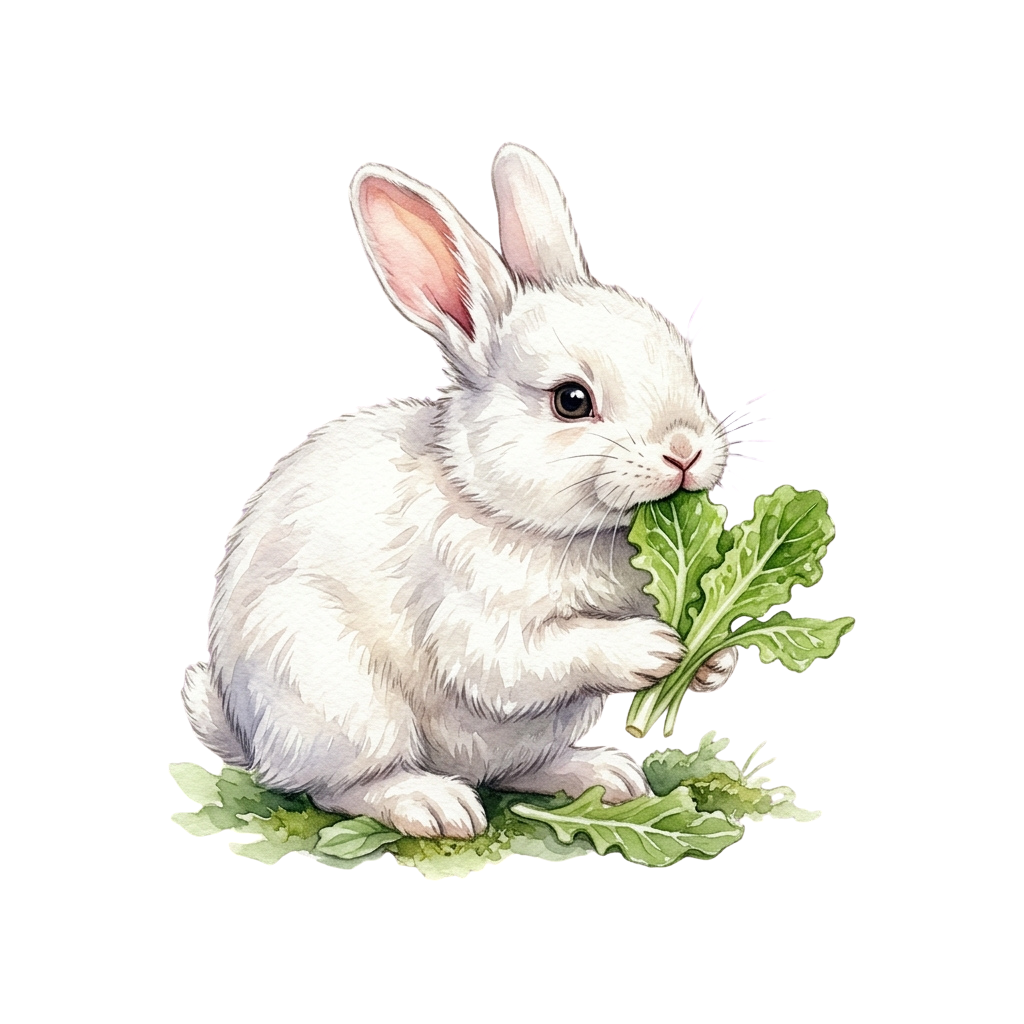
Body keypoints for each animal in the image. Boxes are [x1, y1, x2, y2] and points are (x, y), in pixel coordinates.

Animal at [181, 142, 738, 839]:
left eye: (685, 361)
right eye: (571, 400)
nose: (685, 450)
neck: (503, 509)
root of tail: (244, 731)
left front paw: (712, 662)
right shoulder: (473, 619)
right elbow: (519, 662)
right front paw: (654, 647)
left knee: (512, 768)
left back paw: (602, 775)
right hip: (338, 696)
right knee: (330, 786)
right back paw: (431, 805)